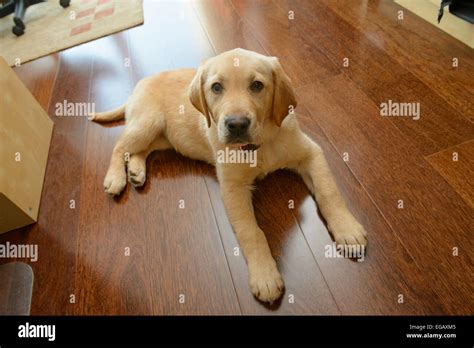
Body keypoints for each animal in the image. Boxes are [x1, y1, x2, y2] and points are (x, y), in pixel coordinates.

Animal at [91, 48, 366, 302]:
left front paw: (347, 229)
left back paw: (136, 170)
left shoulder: (310, 152)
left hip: (164, 137)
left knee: (139, 150)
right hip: (148, 122)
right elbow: (250, 231)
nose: (236, 125)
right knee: (120, 145)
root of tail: (139, 86)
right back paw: (115, 178)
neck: (256, 147)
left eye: (257, 85)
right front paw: (264, 276)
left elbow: (329, 191)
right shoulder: (233, 188)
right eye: (216, 87)